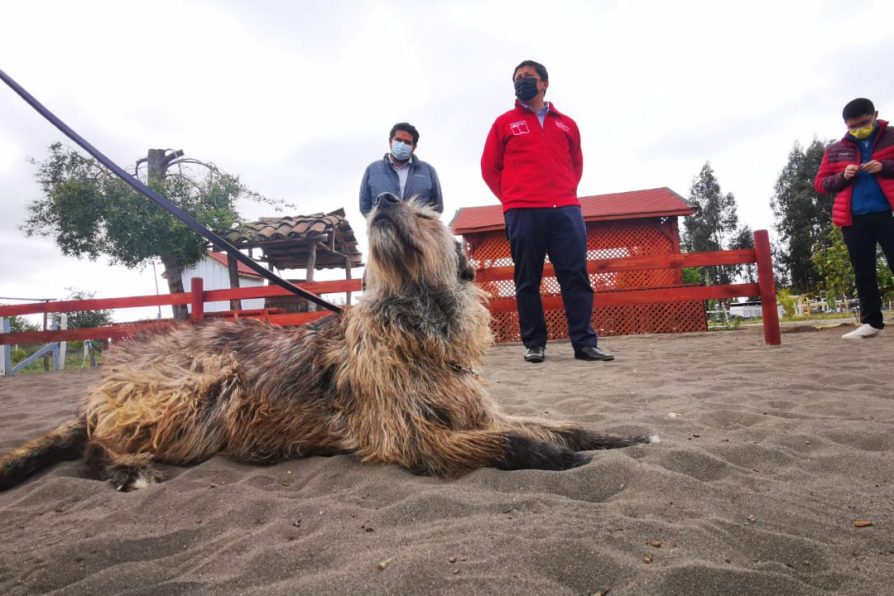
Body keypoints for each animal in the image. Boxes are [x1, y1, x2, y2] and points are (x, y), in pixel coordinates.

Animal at [0, 193, 656, 492]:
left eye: (426, 215)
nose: (386, 198)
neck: (417, 324)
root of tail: (100, 386)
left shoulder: (474, 410)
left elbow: (555, 422)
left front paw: (621, 435)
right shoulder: (407, 435)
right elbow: (511, 442)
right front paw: (554, 456)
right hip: (202, 383)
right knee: (95, 447)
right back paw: (125, 469)